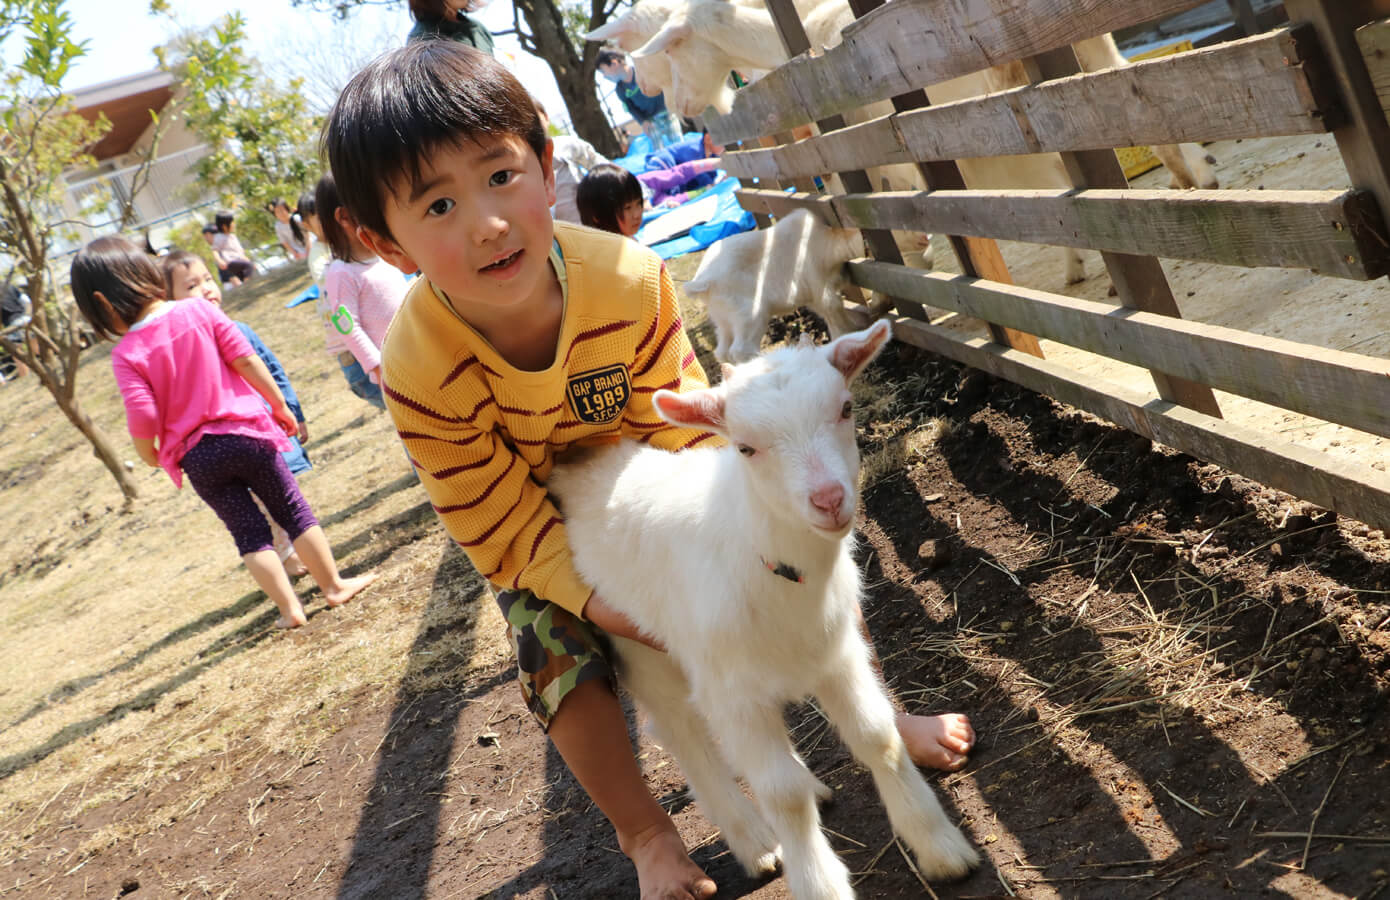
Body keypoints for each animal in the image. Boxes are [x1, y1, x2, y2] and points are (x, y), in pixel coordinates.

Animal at [542, 324, 978, 900]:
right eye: (745, 447)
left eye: (845, 408)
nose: (828, 499)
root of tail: (582, 465)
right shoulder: (733, 690)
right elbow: (781, 792)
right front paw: (819, 883)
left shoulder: (837, 654)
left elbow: (877, 736)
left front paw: (939, 846)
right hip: (638, 642)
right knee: (679, 730)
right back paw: (754, 841)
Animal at [686, 210, 867, 364]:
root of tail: (703, 281)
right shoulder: (821, 287)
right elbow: (834, 311)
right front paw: (848, 334)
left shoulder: (812, 295)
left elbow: (828, 316)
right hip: (750, 316)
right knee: (739, 351)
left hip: (723, 320)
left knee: (722, 352)